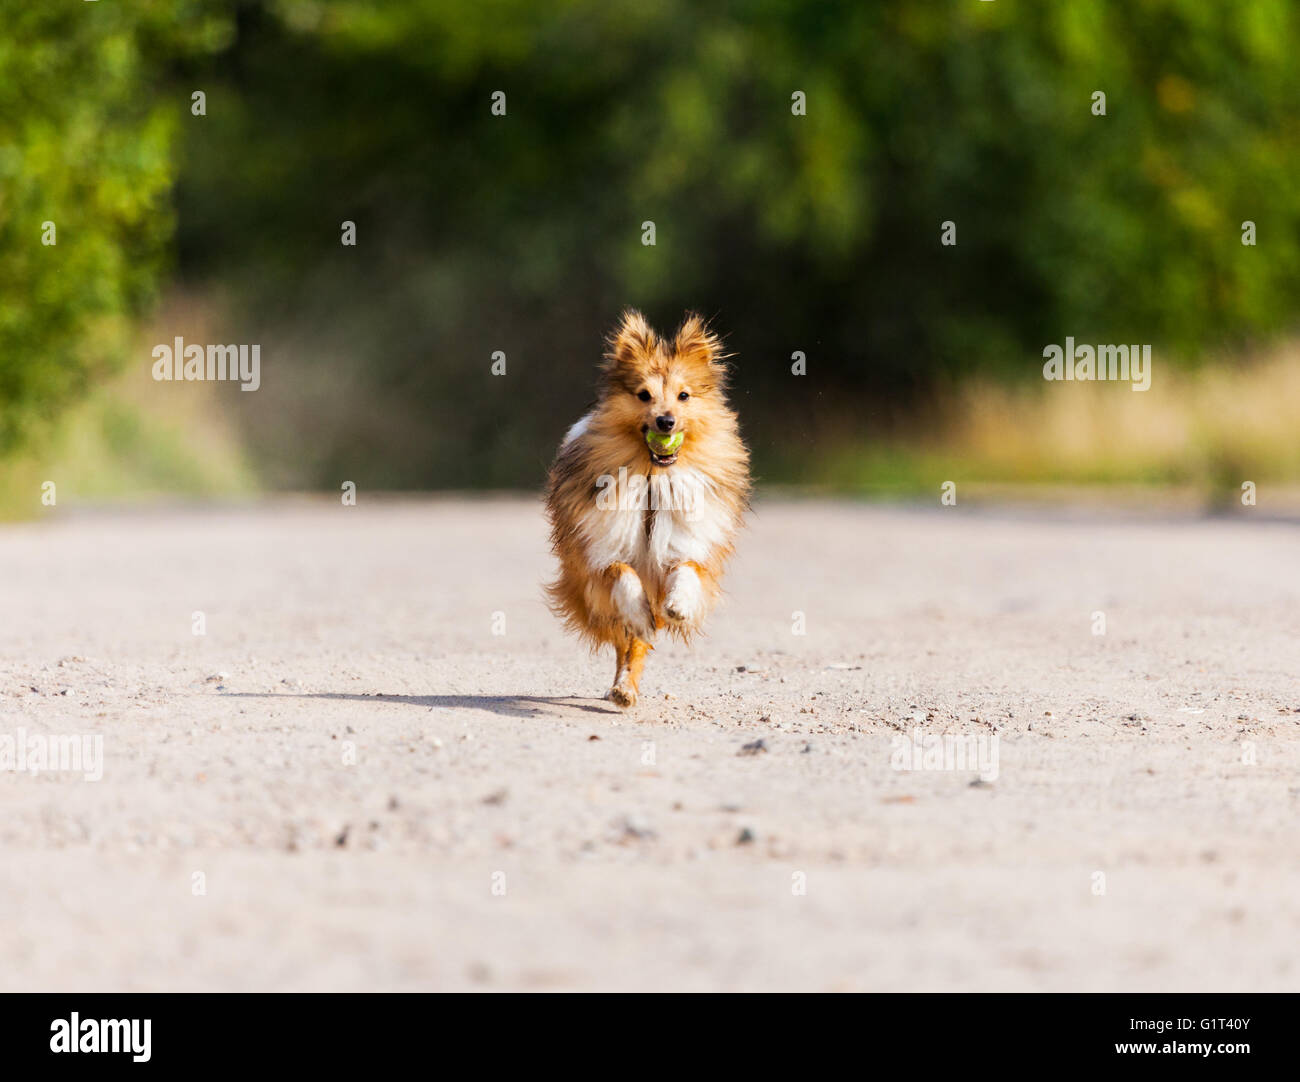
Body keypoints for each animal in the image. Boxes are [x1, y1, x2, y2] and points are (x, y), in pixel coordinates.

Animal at [543, 308, 754, 707]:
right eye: (643, 395)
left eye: (684, 395)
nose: (665, 421)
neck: (654, 479)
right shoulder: (599, 556)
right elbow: (623, 577)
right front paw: (640, 616)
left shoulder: (690, 546)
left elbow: (687, 568)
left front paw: (679, 606)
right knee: (626, 641)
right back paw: (622, 686)